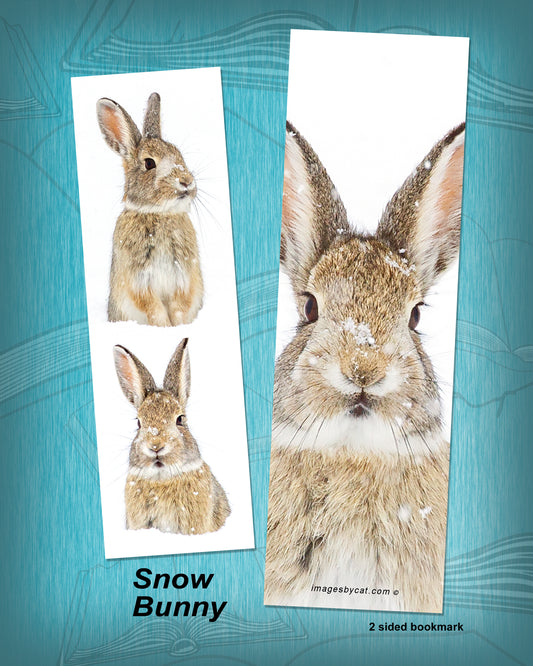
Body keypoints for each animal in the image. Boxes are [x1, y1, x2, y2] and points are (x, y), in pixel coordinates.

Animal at [97, 92, 204, 326]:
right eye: (149, 163)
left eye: (179, 155)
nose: (186, 182)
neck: (158, 214)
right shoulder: (138, 281)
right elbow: (152, 307)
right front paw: (164, 327)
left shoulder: (184, 278)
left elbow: (180, 306)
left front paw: (178, 327)